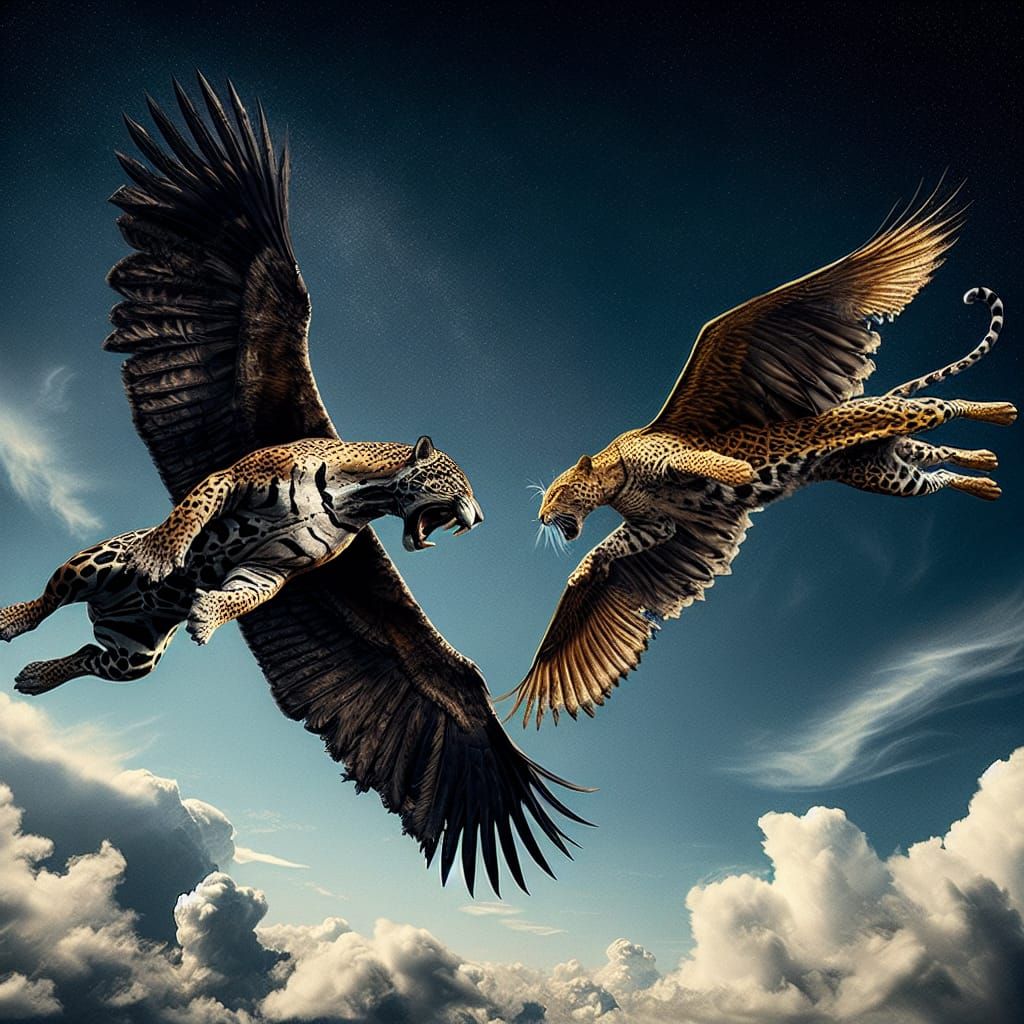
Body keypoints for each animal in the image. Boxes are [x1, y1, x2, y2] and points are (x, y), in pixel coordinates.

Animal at [1, 435, 483, 695]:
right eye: (456, 481)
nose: (479, 517)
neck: (363, 496)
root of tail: (101, 612)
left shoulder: (273, 568)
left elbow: (244, 596)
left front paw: (208, 616)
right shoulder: (231, 479)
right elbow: (191, 511)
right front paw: (159, 554)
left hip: (135, 660)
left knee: (87, 655)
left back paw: (35, 677)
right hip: (93, 563)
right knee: (48, 599)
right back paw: (11, 620)